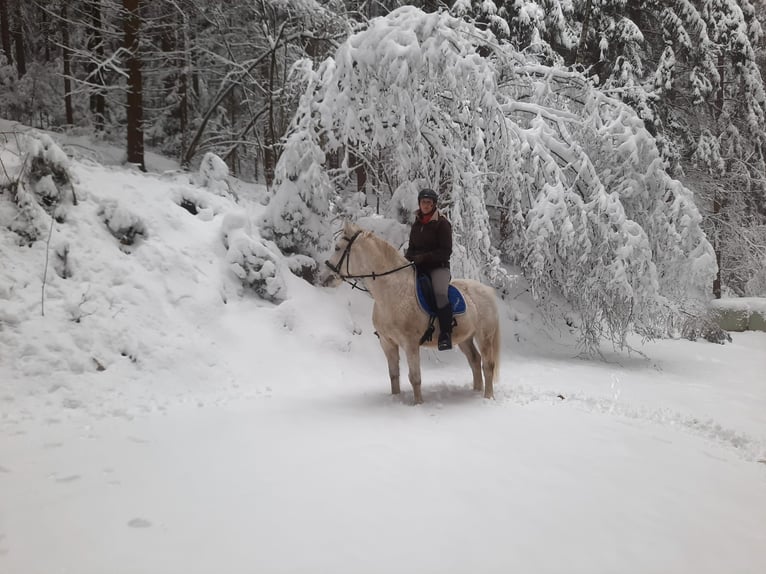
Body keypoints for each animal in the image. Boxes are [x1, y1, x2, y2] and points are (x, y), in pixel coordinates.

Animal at [323, 221, 500, 404]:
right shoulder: (387, 343)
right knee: (475, 361)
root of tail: (487, 290)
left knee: (487, 365)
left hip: (484, 336)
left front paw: (418, 404)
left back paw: (488, 397)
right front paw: (396, 398)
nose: (325, 277)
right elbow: (394, 375)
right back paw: (476, 393)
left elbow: (415, 378)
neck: (393, 291)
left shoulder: (410, 344)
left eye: (337, 248)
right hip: (465, 338)